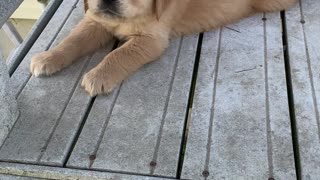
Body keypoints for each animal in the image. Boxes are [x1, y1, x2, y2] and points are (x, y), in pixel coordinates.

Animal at [29, 0, 296, 96]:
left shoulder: (151, 39)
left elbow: (118, 55)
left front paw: (98, 76)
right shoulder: (97, 20)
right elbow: (72, 39)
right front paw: (48, 58)